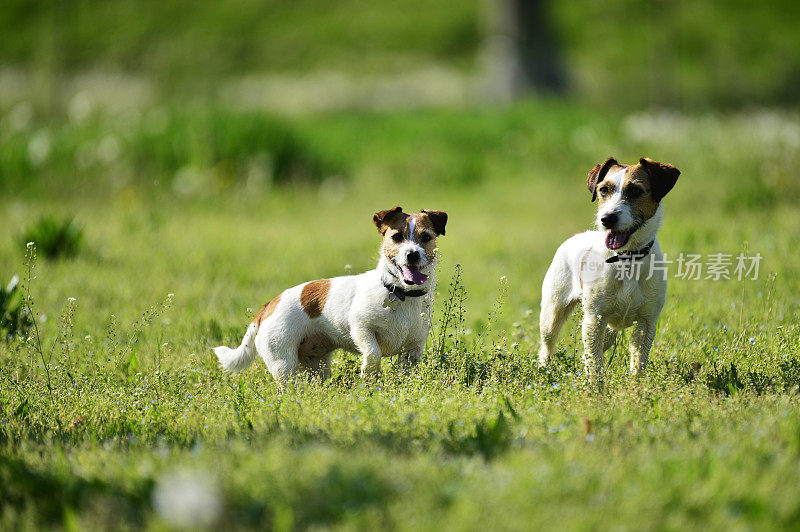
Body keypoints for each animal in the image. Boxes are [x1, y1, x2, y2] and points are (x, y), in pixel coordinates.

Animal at [216, 206, 446, 384]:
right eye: (397, 237)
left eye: (426, 237)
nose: (412, 254)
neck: (400, 293)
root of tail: (269, 305)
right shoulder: (361, 328)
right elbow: (373, 353)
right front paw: (368, 376)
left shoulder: (413, 349)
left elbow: (406, 372)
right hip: (283, 361)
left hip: (316, 365)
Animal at [536, 157, 680, 382]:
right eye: (603, 190)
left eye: (635, 190)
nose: (607, 219)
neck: (627, 258)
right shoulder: (594, 320)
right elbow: (595, 365)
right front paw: (596, 388)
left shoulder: (647, 322)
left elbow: (638, 363)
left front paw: (637, 388)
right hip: (552, 313)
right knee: (547, 347)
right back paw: (544, 372)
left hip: (610, 331)